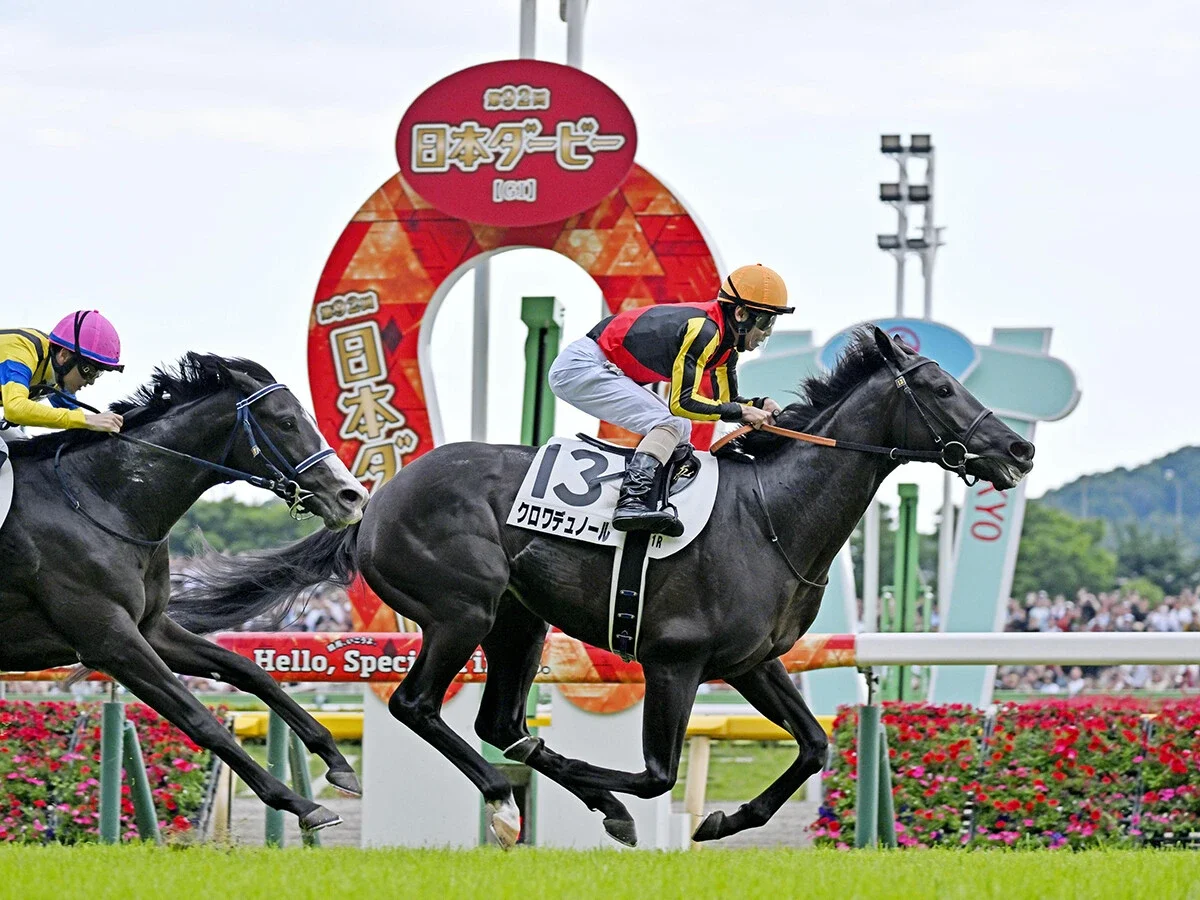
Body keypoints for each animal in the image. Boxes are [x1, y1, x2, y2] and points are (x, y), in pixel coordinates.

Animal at [0, 353, 369, 832]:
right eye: (287, 422)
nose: (352, 496)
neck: (96, 500)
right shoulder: (108, 640)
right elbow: (199, 719)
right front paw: (301, 804)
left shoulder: (151, 628)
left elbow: (249, 671)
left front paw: (337, 762)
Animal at [168, 327, 1035, 847]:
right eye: (941, 389)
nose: (1019, 449)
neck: (773, 515)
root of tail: (374, 499)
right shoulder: (675, 662)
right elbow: (655, 774)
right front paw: (614, 802)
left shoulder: (754, 662)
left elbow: (815, 745)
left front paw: (724, 820)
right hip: (462, 609)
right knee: (422, 706)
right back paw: (507, 798)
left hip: (518, 620)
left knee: (497, 716)